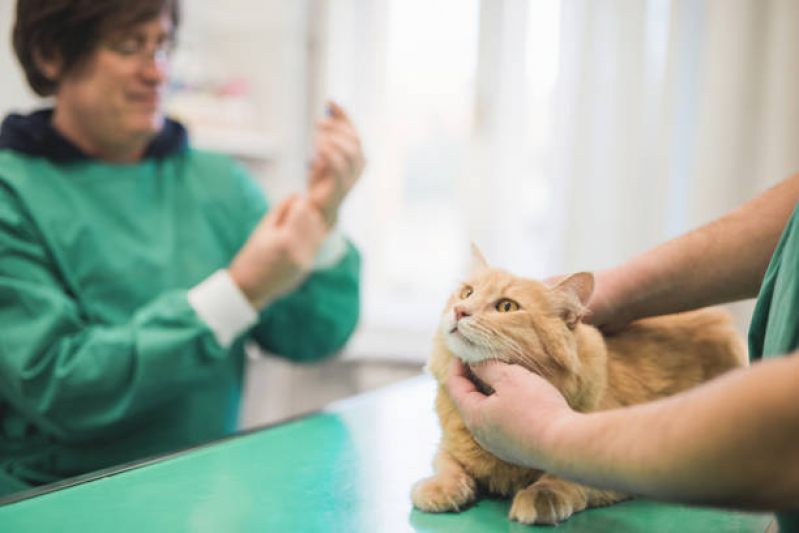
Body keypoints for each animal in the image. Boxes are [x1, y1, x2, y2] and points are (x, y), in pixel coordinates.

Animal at [412, 244, 752, 524]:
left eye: (507, 307)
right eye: (467, 293)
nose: (460, 311)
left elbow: (562, 477)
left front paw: (542, 497)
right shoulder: (449, 446)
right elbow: (449, 463)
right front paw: (439, 487)